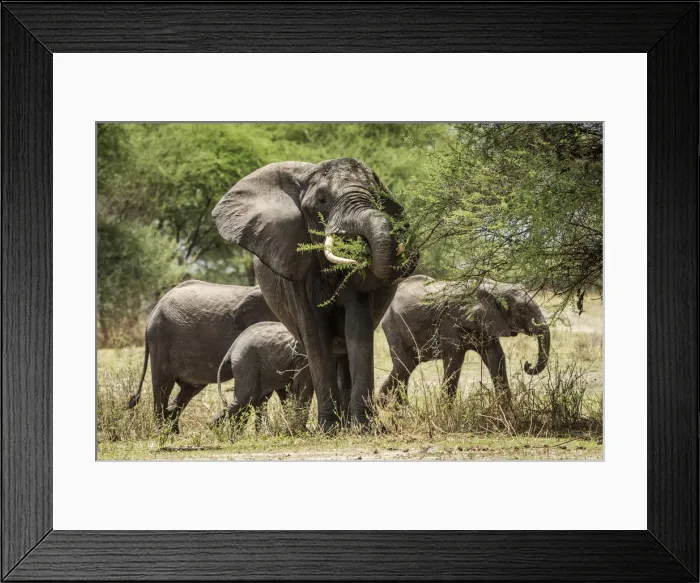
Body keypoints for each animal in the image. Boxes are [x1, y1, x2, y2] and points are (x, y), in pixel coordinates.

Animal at [126, 280, 278, 431]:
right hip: (160, 339)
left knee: (187, 390)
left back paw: (175, 432)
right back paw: (162, 432)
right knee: (162, 385)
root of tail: (152, 312)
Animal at [212, 158, 417, 430]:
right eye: (322, 200)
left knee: (343, 350)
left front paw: (365, 428)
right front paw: (329, 429)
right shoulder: (296, 267)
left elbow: (357, 328)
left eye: (376, 196)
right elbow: (316, 334)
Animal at [378, 275, 551, 404]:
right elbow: (454, 360)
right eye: (522, 310)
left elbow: (496, 357)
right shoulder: (450, 320)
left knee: (406, 368)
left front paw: (508, 414)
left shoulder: (488, 322)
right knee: (403, 367)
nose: (527, 365)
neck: (495, 287)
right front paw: (446, 413)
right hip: (393, 326)